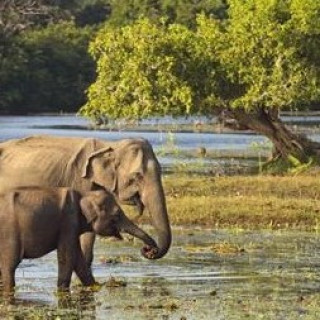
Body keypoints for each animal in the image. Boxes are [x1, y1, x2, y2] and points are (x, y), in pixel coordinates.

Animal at [0, 188, 158, 296]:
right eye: (117, 215)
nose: (148, 250)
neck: (84, 193)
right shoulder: (69, 221)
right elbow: (67, 257)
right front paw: (62, 290)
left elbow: (77, 258)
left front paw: (97, 286)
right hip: (9, 234)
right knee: (9, 266)